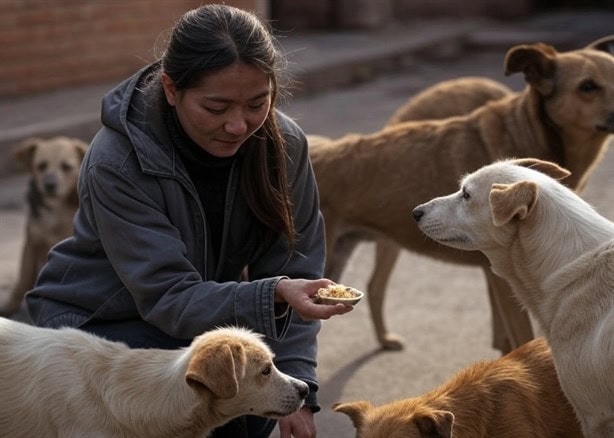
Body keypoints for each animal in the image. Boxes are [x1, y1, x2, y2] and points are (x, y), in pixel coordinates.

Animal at [0, 136, 88, 314]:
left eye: (66, 167)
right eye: (41, 166)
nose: (50, 185)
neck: (55, 210)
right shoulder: (31, 242)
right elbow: (23, 277)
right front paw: (10, 306)